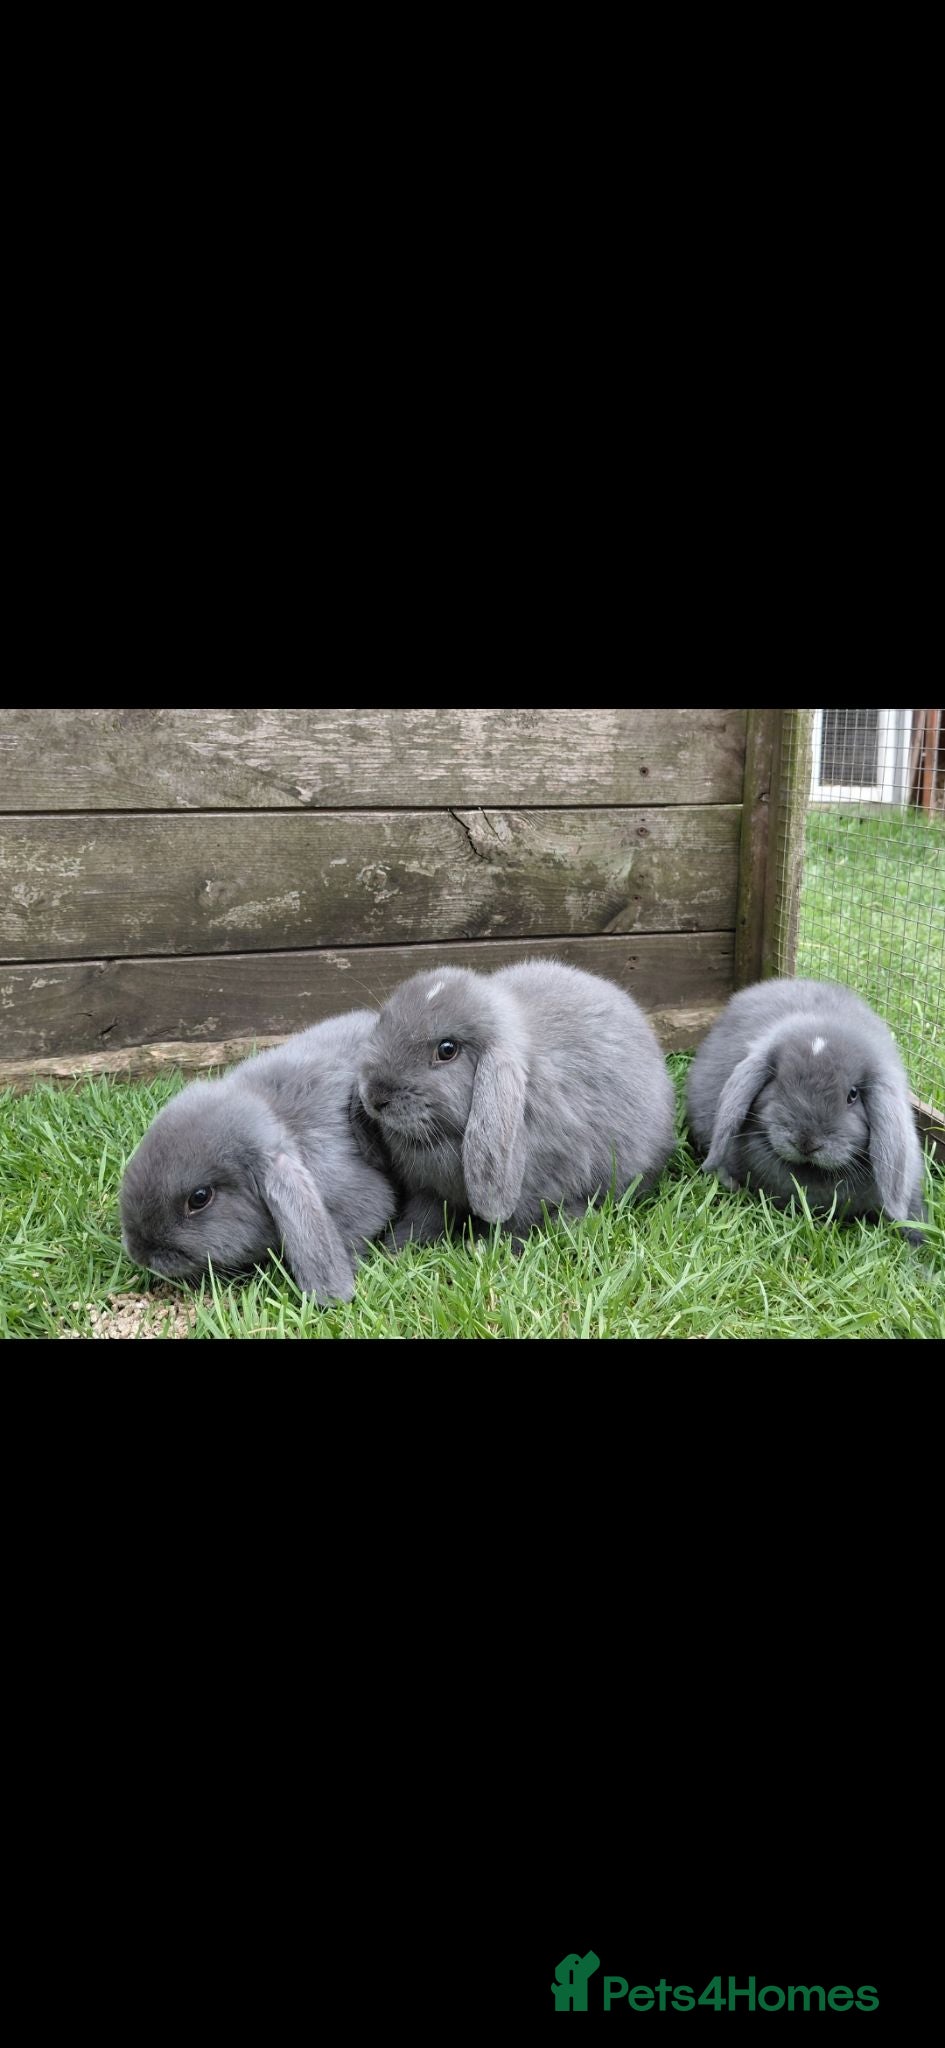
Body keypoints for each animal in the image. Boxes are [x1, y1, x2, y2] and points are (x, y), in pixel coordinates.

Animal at [351, 959, 676, 1247]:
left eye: (447, 1050)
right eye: (383, 1022)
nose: (375, 1096)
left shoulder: (536, 1188)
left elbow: (516, 1224)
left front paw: (491, 1248)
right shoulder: (428, 1192)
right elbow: (425, 1218)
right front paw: (398, 1248)